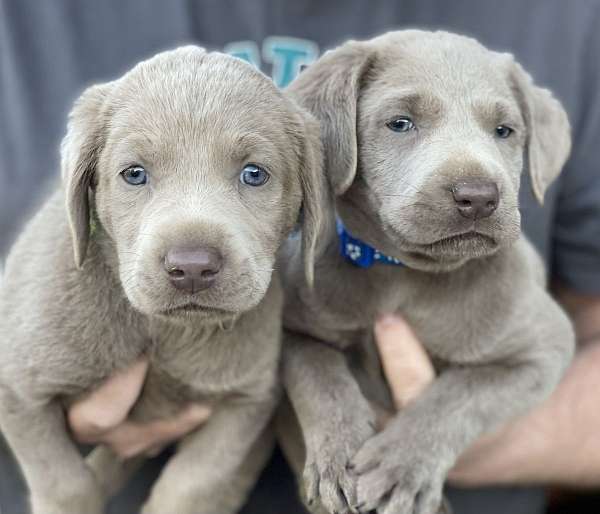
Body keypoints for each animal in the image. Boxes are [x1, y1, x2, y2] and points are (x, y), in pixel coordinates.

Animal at [0, 46, 324, 512]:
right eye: (134, 174)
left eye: (254, 174)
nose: (192, 267)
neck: (160, 331)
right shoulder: (18, 390)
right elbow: (64, 482)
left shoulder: (245, 402)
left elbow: (190, 484)